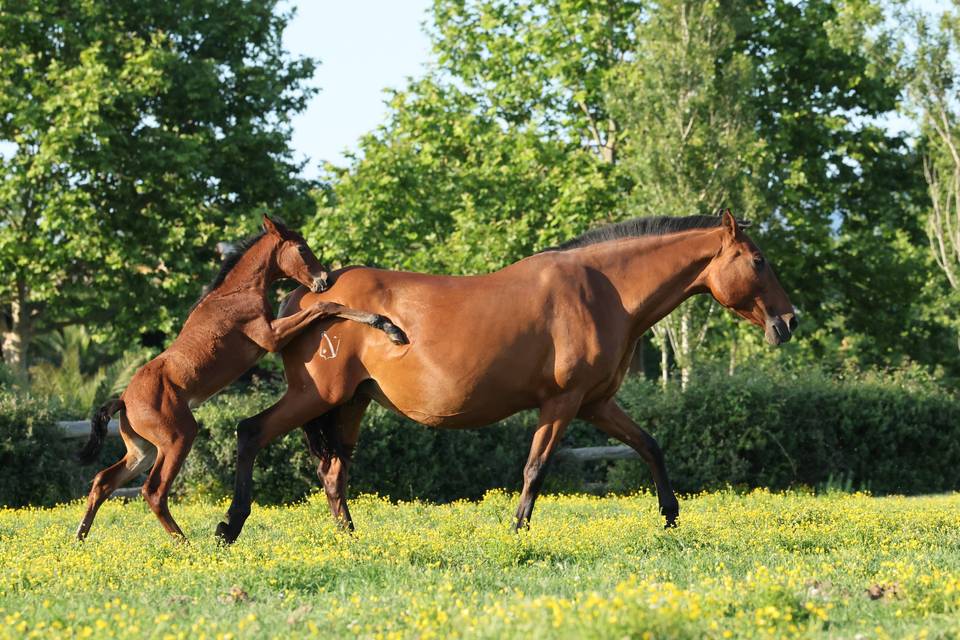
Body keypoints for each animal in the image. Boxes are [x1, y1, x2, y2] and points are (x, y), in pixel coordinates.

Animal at [75, 215, 407, 541]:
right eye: (301, 248)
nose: (323, 279)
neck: (237, 292)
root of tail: (123, 400)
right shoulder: (271, 336)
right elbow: (326, 307)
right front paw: (388, 326)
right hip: (178, 438)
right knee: (153, 490)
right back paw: (185, 543)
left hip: (142, 450)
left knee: (104, 480)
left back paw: (80, 538)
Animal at [214, 211, 797, 543]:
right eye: (759, 261)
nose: (788, 322)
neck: (602, 290)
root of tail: (307, 296)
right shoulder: (563, 403)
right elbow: (535, 469)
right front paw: (518, 532)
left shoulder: (596, 403)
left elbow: (650, 446)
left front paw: (672, 518)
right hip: (315, 397)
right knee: (251, 433)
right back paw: (230, 525)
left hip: (350, 404)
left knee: (334, 474)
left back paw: (351, 540)